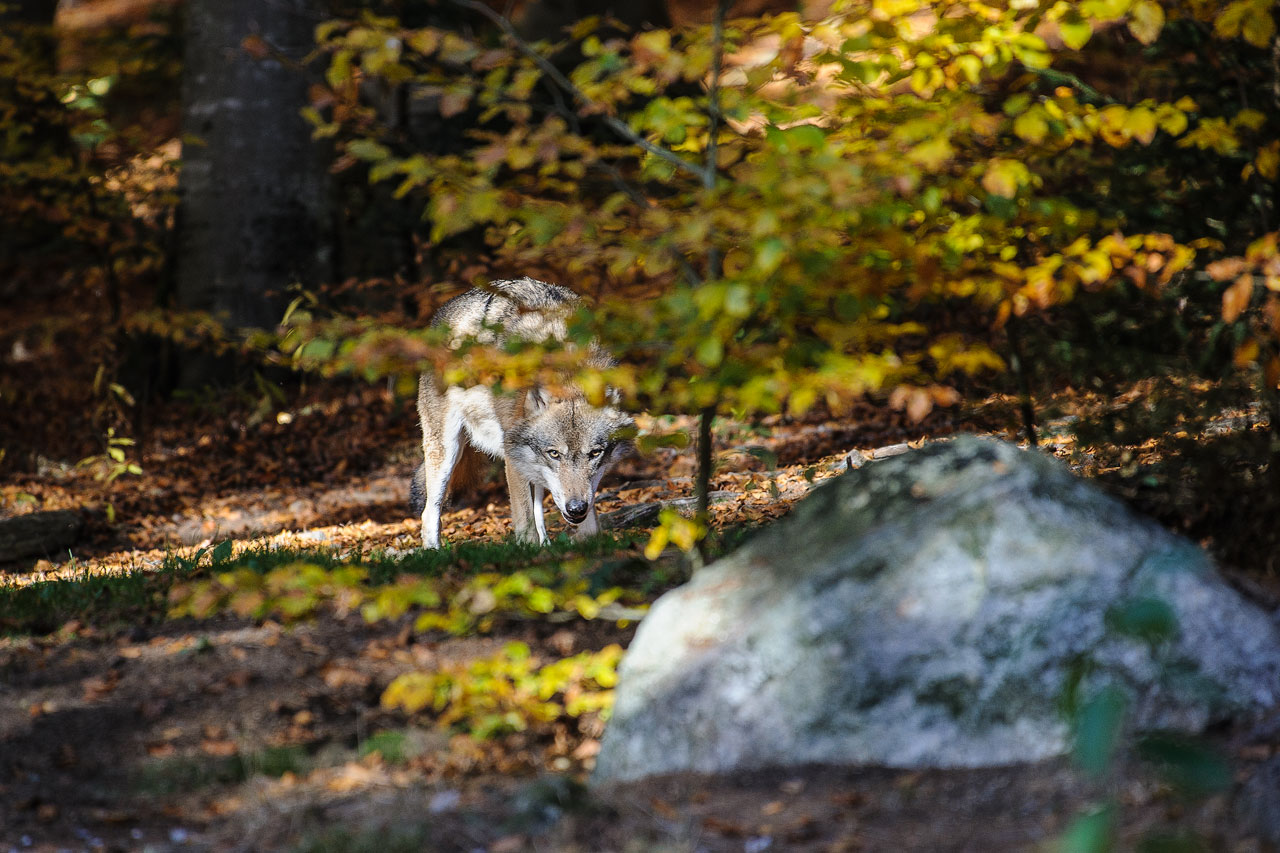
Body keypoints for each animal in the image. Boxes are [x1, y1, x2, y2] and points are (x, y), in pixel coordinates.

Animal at [409, 277, 633, 548]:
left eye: (594, 453)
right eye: (554, 453)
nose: (576, 508)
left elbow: (589, 528)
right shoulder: (512, 455)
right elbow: (525, 522)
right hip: (446, 451)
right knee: (429, 513)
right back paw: (434, 552)